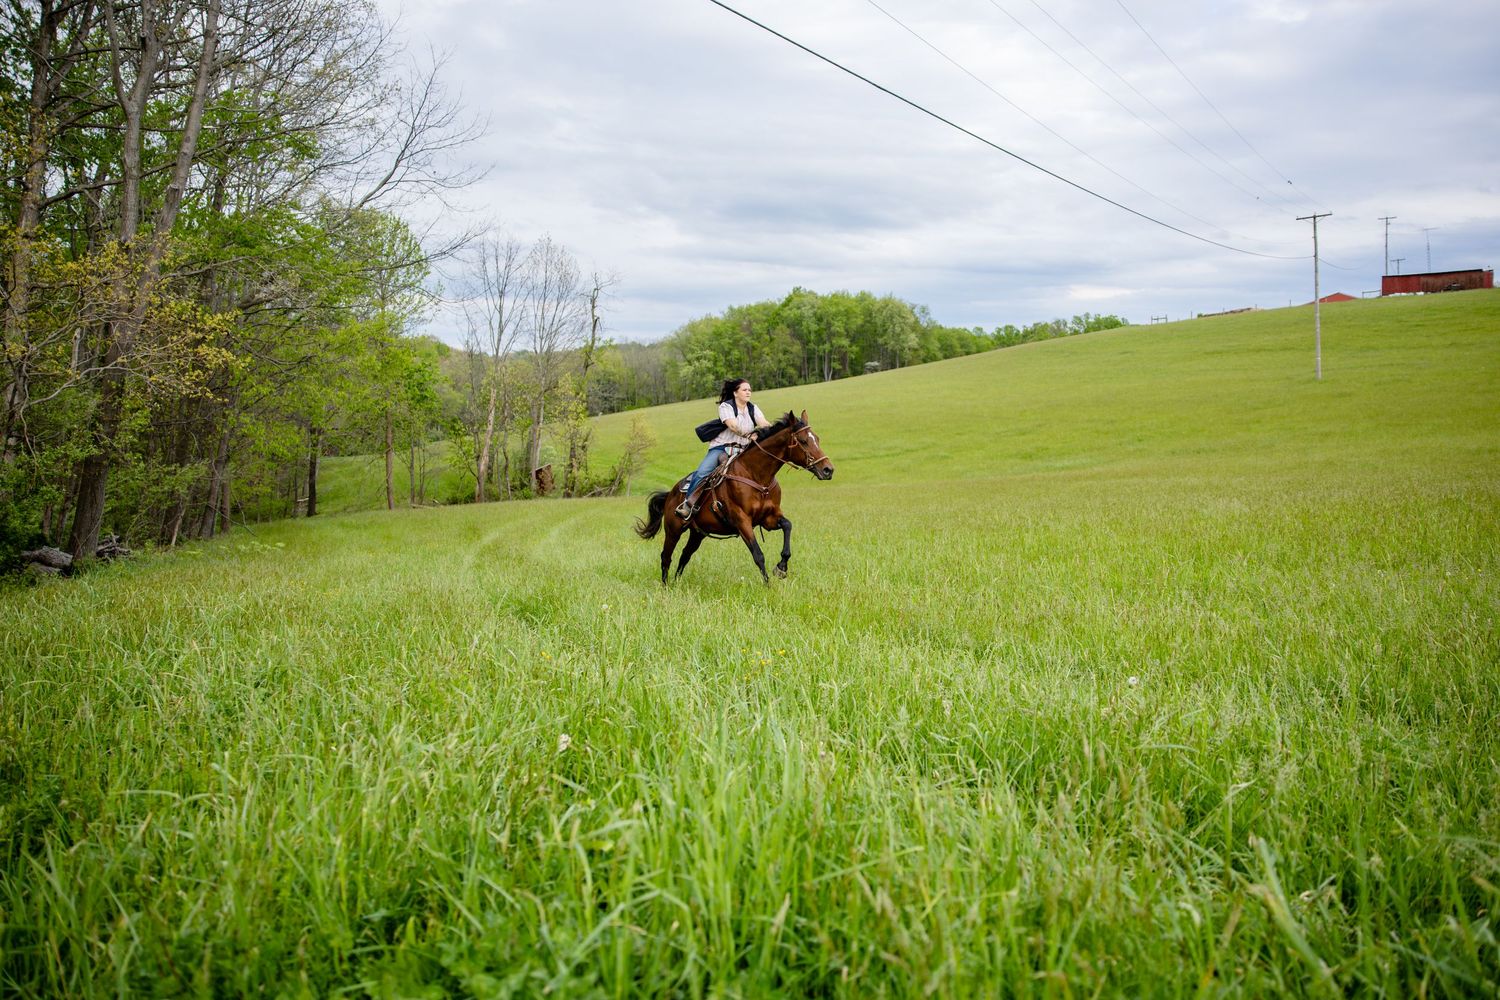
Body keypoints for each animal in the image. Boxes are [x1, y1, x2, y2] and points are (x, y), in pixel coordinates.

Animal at [634, 410, 834, 584]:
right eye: (803, 441)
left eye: (817, 438)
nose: (828, 470)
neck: (756, 475)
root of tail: (671, 493)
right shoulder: (742, 521)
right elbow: (758, 554)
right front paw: (768, 586)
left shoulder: (769, 518)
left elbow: (787, 526)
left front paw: (781, 568)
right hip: (674, 530)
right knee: (666, 556)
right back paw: (666, 586)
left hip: (698, 533)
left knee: (685, 555)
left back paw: (676, 582)